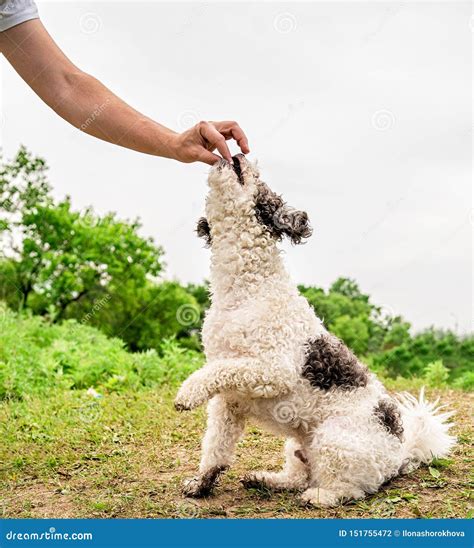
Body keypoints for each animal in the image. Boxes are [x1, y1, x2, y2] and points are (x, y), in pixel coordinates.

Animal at [172, 153, 454, 506]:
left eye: (262, 184)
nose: (238, 154)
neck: (248, 290)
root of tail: (401, 452)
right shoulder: (230, 401)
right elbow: (216, 446)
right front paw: (202, 483)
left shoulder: (271, 370)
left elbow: (218, 371)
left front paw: (187, 392)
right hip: (297, 444)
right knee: (299, 474)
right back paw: (266, 480)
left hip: (333, 439)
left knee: (351, 489)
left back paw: (319, 496)